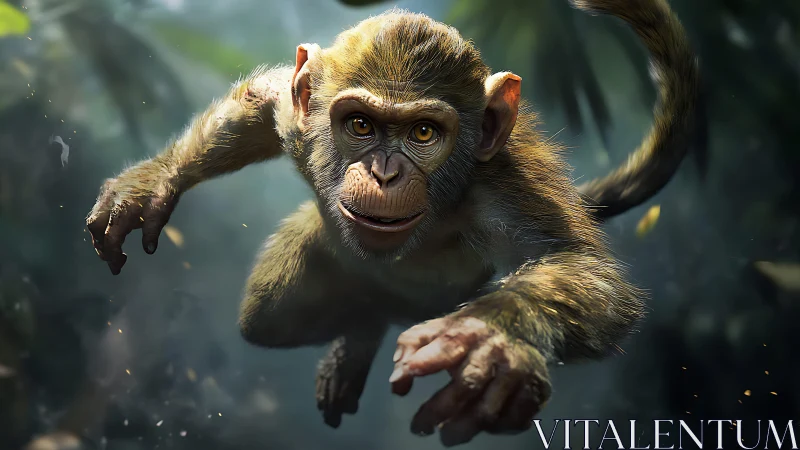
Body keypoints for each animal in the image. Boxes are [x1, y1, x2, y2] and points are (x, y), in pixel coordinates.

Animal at [85, 0, 701, 446]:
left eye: (423, 133)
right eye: (360, 125)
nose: (384, 172)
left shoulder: (502, 187)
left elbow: (576, 265)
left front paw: (490, 339)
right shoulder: (298, 115)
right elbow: (259, 103)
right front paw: (153, 183)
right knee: (267, 318)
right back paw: (359, 332)